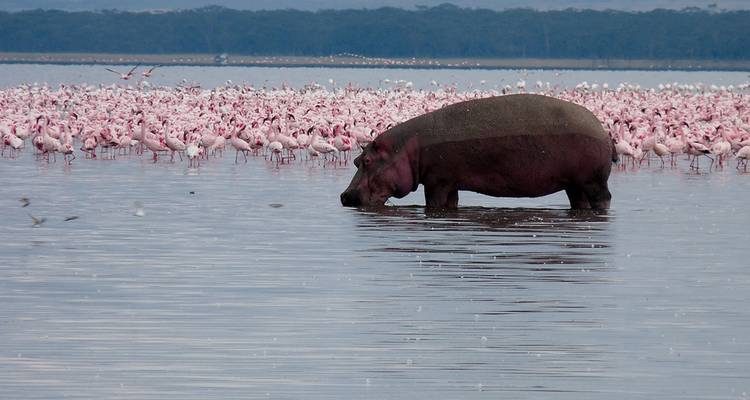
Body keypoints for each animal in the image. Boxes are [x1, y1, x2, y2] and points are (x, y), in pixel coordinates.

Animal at [340, 94, 615, 210]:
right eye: (355, 160)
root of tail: (603, 130)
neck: (408, 148)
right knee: (579, 202)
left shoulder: (437, 182)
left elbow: (434, 202)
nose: (344, 196)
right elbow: (450, 205)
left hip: (593, 182)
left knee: (603, 198)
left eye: (367, 160)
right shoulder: (451, 184)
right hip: (574, 184)